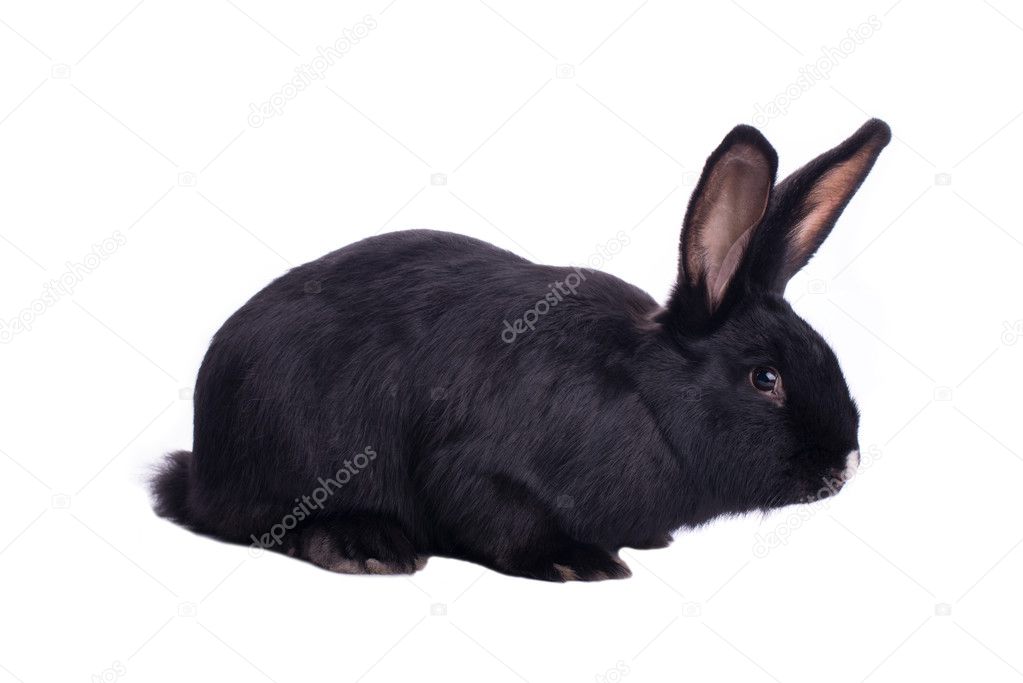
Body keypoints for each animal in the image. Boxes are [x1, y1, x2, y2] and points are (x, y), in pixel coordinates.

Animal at [151, 118, 891, 582]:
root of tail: (201, 467)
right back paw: (366, 546)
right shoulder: (480, 467)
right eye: (764, 378)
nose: (846, 465)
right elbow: (498, 517)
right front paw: (581, 562)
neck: (644, 396)